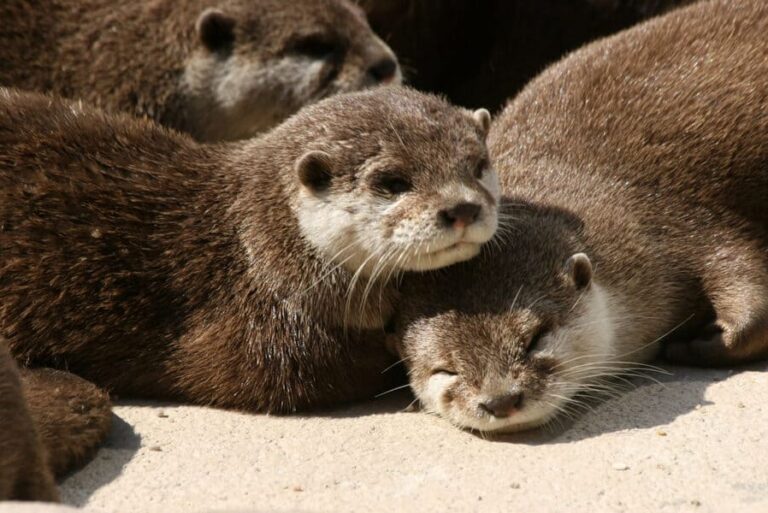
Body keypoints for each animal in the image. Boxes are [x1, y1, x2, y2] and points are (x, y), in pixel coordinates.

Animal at [392, 0, 768, 432]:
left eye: (536, 337)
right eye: (445, 370)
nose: (501, 400)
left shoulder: (682, 224)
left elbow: (748, 292)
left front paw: (695, 343)